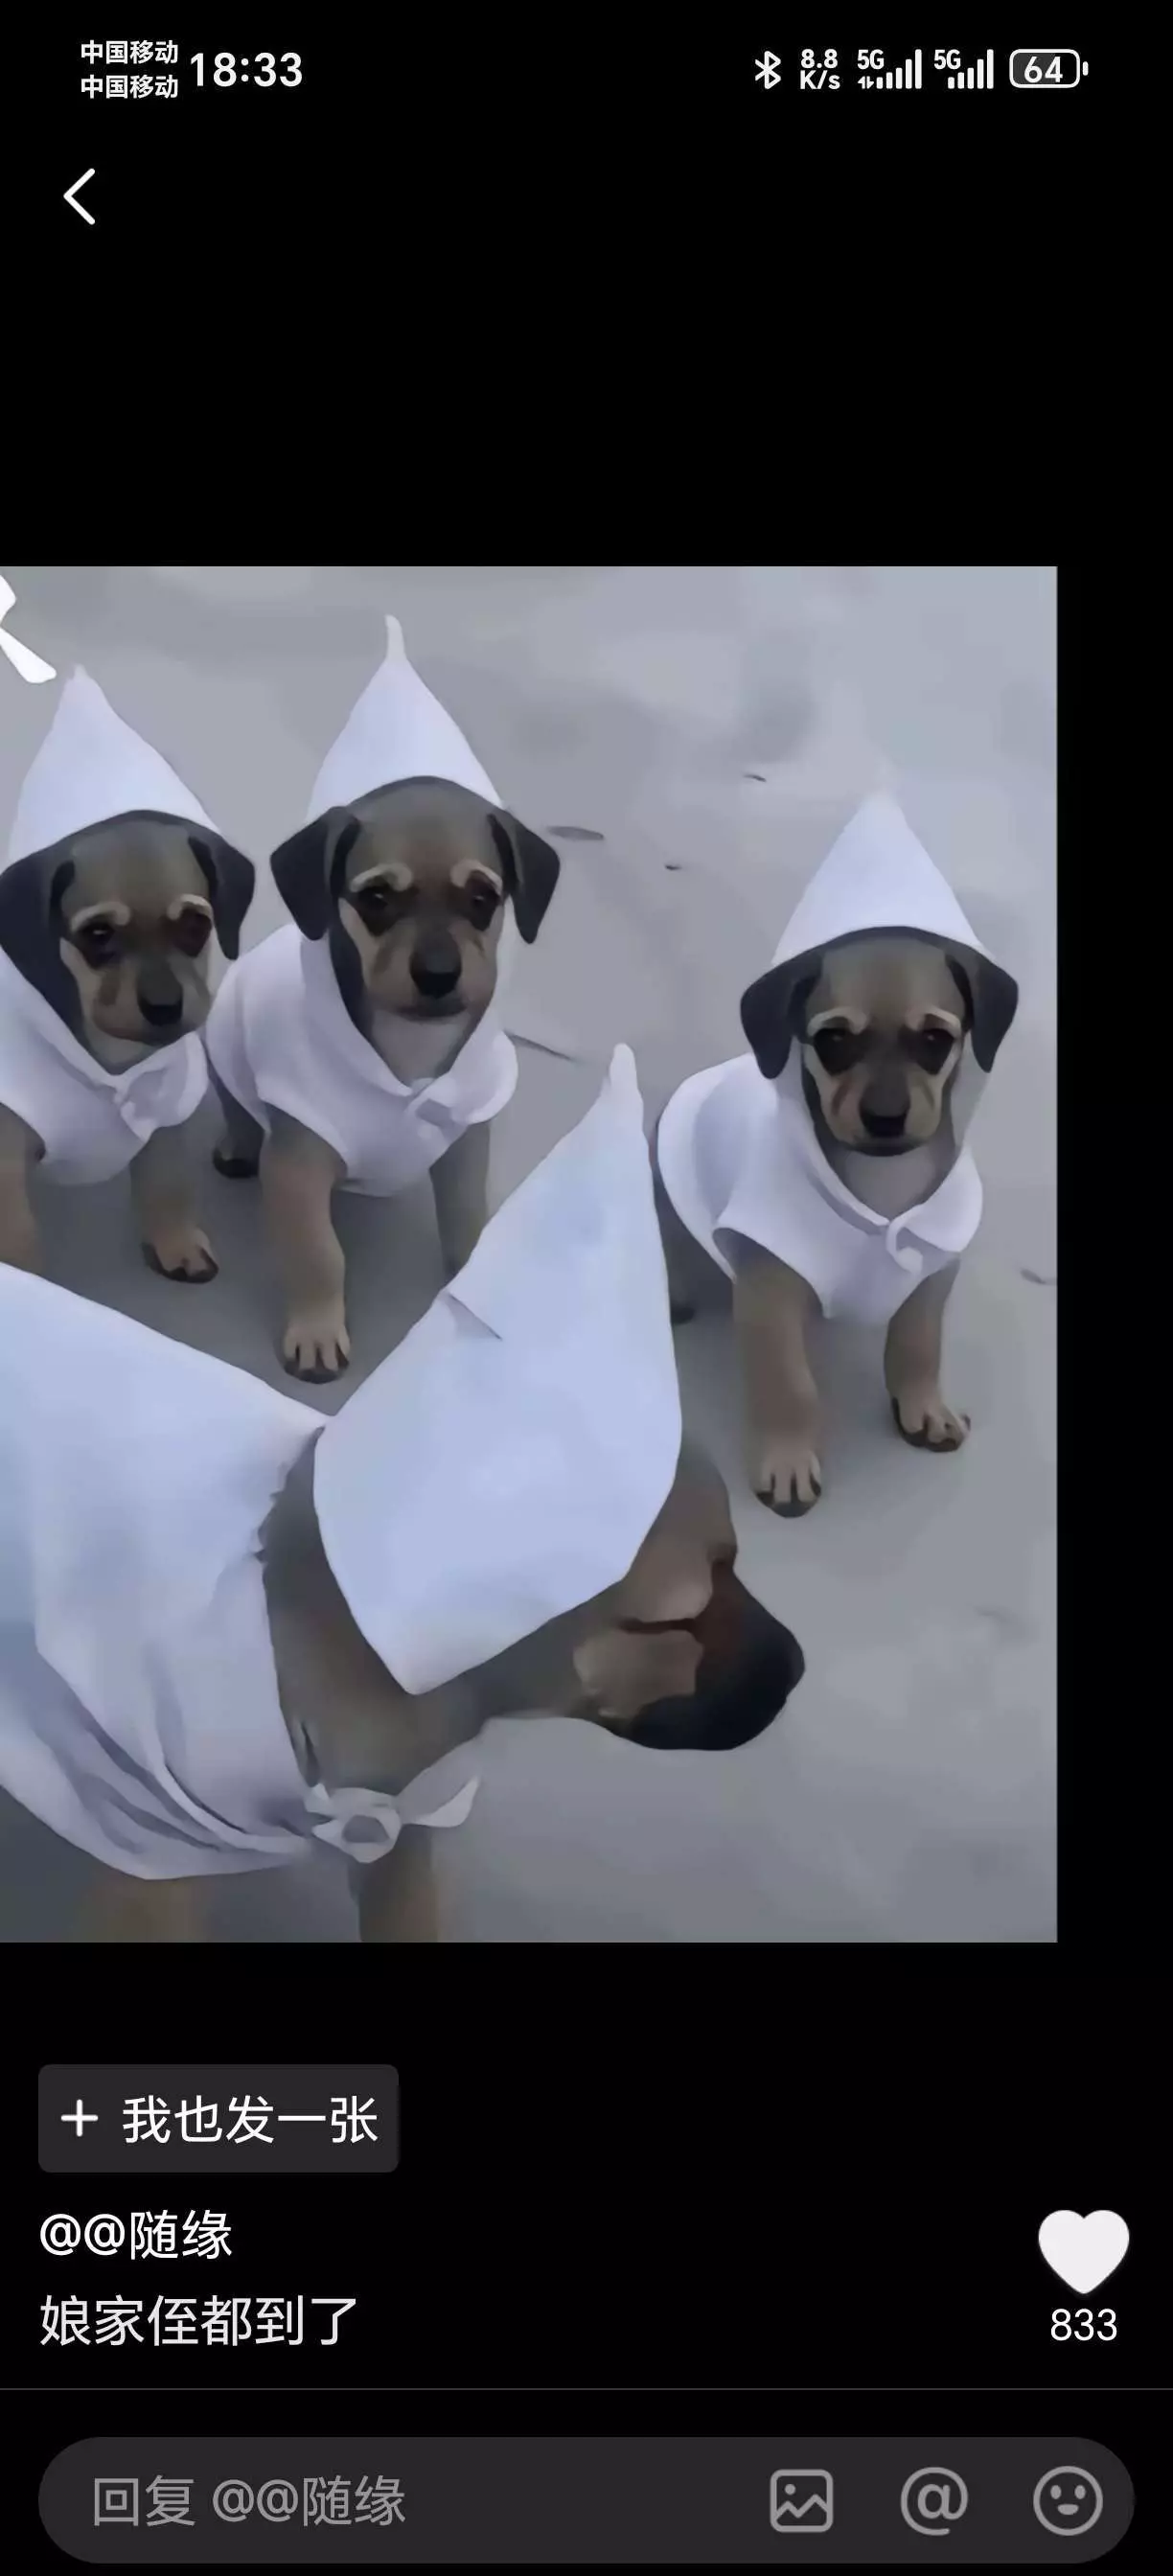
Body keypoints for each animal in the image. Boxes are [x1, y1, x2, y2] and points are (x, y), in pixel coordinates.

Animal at [0, 813, 254, 1282]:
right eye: (98, 934)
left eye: (195, 925)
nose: (165, 1007)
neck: (113, 1062)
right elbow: (18, 1242)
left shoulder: (167, 1115)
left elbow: (166, 1183)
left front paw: (177, 1245)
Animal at [206, 777, 560, 1380]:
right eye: (375, 899)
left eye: (483, 898)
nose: (438, 975)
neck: (410, 1049)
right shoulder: (297, 1172)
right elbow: (320, 1255)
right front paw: (318, 1332)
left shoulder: (466, 1148)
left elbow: (466, 1218)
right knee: (240, 1114)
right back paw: (238, 1145)